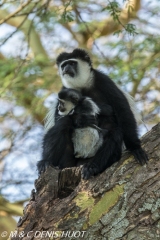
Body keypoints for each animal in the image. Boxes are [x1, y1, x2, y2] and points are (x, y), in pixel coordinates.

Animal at [37, 48, 148, 179]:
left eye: (72, 63)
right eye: (64, 65)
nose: (66, 69)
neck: (81, 86)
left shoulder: (104, 81)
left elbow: (122, 110)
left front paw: (135, 147)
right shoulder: (63, 91)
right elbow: (59, 118)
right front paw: (80, 119)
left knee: (115, 132)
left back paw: (92, 167)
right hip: (67, 160)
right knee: (62, 124)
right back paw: (45, 163)